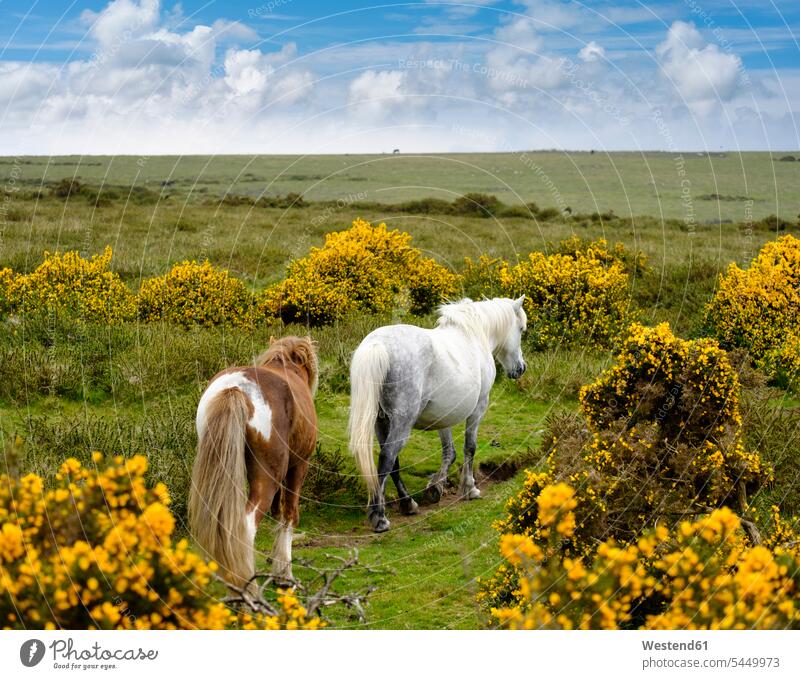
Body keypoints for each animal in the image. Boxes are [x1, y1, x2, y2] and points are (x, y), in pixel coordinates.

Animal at [191, 338, 318, 588]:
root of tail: (236, 389)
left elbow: (279, 513)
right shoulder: (298, 466)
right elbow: (289, 514)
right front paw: (285, 575)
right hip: (267, 479)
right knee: (246, 528)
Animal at [348, 298, 524, 532]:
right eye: (521, 329)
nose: (520, 368)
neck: (475, 334)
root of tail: (378, 345)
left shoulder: (443, 416)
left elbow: (450, 453)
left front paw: (435, 487)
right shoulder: (479, 407)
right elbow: (469, 448)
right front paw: (469, 489)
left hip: (380, 422)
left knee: (393, 462)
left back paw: (408, 504)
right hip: (401, 423)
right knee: (387, 458)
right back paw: (380, 518)